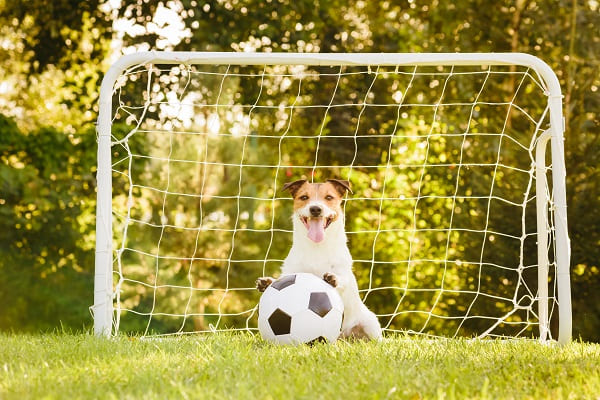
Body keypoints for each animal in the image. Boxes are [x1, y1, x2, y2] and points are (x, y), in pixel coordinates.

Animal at [255, 180, 382, 340]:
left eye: (329, 197)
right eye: (304, 197)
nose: (315, 209)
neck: (317, 247)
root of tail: (343, 337)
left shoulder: (344, 272)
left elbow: (343, 279)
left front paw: (333, 279)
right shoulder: (291, 271)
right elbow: (281, 279)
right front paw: (267, 282)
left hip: (370, 323)